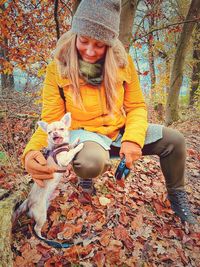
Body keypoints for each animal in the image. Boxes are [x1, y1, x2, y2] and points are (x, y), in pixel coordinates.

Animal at [12, 113, 83, 243]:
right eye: (49, 132)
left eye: (61, 129)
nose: (54, 133)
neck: (58, 147)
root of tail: (29, 200)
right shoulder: (64, 160)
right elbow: (72, 151)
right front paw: (80, 145)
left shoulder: (66, 148)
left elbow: (70, 146)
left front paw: (76, 141)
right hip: (41, 216)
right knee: (36, 228)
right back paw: (43, 238)